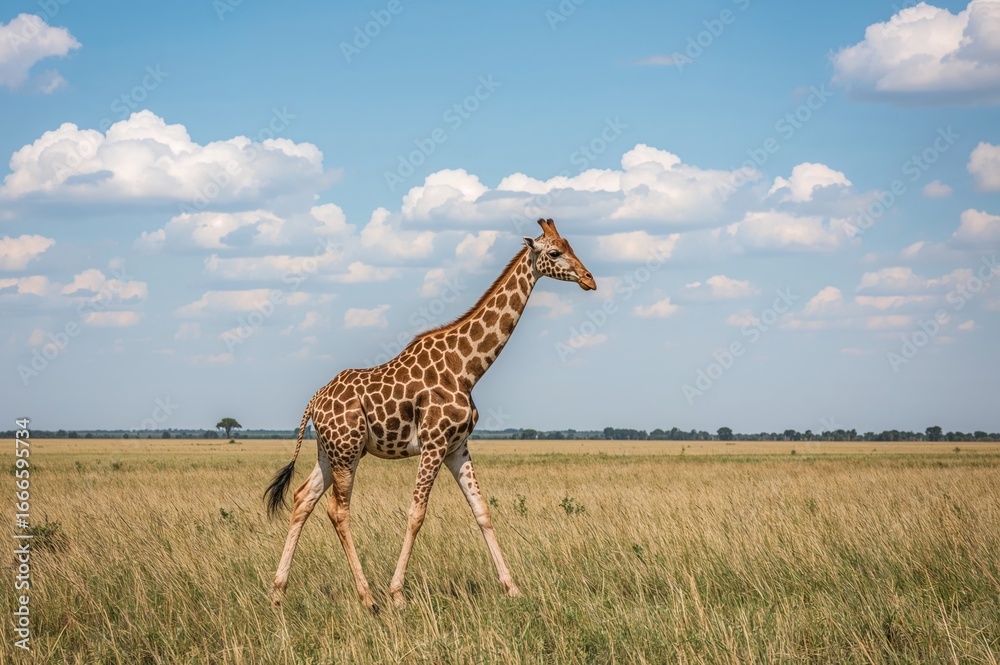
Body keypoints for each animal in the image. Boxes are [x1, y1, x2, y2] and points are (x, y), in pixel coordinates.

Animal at [265, 218, 596, 612]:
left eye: (571, 246)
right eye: (555, 252)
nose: (590, 279)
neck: (467, 368)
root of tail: (314, 401)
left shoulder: (457, 447)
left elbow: (481, 510)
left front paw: (512, 587)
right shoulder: (434, 443)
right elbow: (416, 514)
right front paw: (397, 594)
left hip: (332, 451)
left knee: (303, 498)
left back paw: (278, 592)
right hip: (346, 451)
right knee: (337, 510)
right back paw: (367, 597)